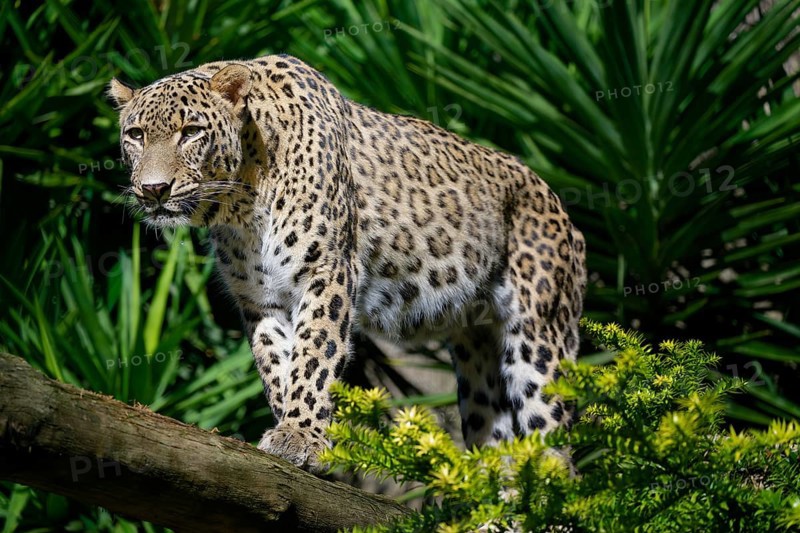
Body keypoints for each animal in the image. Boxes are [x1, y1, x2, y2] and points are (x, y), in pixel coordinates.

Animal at [109, 54, 587, 474]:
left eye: (191, 131)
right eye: (135, 134)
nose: (154, 189)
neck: (241, 203)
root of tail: (565, 214)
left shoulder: (327, 272)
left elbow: (314, 354)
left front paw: (301, 435)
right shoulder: (259, 298)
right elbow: (276, 362)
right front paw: (289, 426)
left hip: (540, 337)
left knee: (555, 445)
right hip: (478, 357)